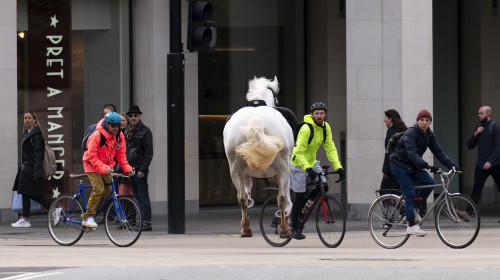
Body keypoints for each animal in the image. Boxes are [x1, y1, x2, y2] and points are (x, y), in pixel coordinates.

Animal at [223, 76, 292, 238]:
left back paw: (245, 229)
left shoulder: (245, 174)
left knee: (241, 198)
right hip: (282, 167)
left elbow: (246, 194)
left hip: (235, 167)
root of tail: (255, 121)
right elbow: (286, 197)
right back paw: (284, 230)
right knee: (282, 198)